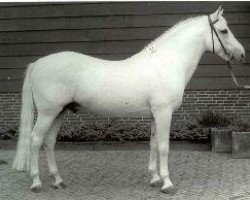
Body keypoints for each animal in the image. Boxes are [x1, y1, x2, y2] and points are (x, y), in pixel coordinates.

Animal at [13, 7, 244, 194]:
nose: (241, 55)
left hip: (59, 112)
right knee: (35, 140)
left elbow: (153, 144)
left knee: (49, 142)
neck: (166, 62)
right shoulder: (164, 113)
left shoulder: (154, 115)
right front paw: (167, 184)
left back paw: (58, 181)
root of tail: (38, 64)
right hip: (47, 113)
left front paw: (155, 179)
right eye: (224, 31)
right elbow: (163, 147)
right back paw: (36, 183)